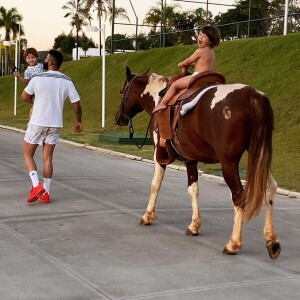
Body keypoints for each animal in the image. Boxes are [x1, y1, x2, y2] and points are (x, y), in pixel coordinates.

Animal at [115, 67, 282, 258]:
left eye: (122, 92)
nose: (118, 117)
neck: (159, 97)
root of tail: (253, 96)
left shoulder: (159, 154)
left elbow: (155, 185)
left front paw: (148, 215)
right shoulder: (190, 160)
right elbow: (193, 189)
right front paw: (194, 225)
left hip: (229, 163)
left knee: (239, 196)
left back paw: (233, 243)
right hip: (261, 155)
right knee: (270, 187)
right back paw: (271, 240)